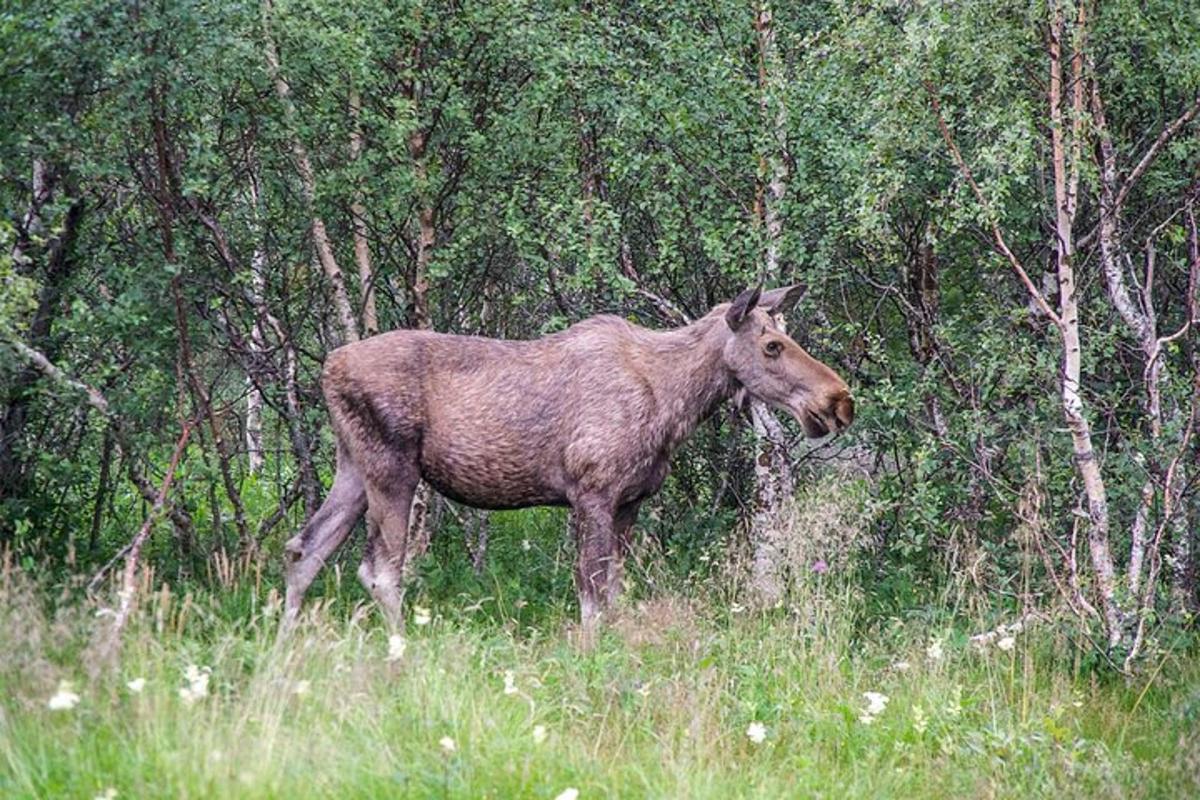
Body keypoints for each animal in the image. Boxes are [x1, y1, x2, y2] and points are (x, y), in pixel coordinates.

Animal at [283, 286, 854, 633]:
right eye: (772, 345)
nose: (839, 400)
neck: (675, 404)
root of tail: (328, 367)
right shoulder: (592, 491)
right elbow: (592, 596)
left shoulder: (629, 502)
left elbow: (614, 593)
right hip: (392, 467)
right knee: (378, 569)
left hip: (353, 465)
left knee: (303, 549)